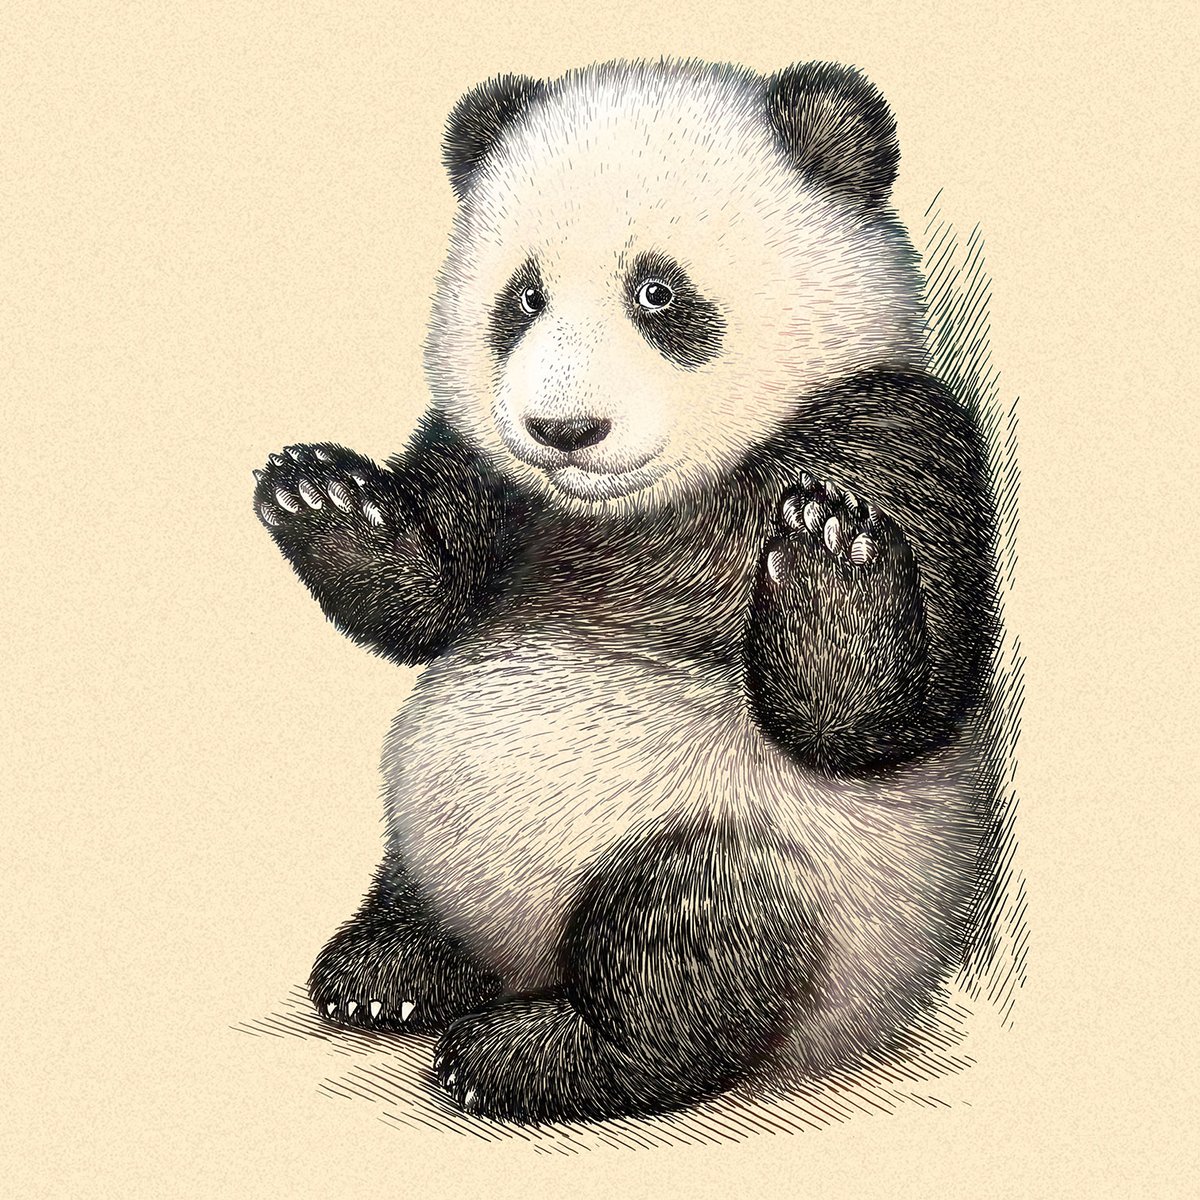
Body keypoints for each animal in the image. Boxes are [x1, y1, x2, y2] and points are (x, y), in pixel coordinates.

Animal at [253, 57, 1003, 1125]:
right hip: (432, 829)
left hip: (781, 855)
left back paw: (527, 1052)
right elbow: (429, 597)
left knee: (689, 941)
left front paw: (832, 558)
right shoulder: (505, 480)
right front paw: (322, 496)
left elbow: (888, 716)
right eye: (522, 298)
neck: (642, 510)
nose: (564, 430)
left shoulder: (888, 430)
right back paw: (391, 967)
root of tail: (527, 956)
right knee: (422, 880)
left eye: (656, 291)